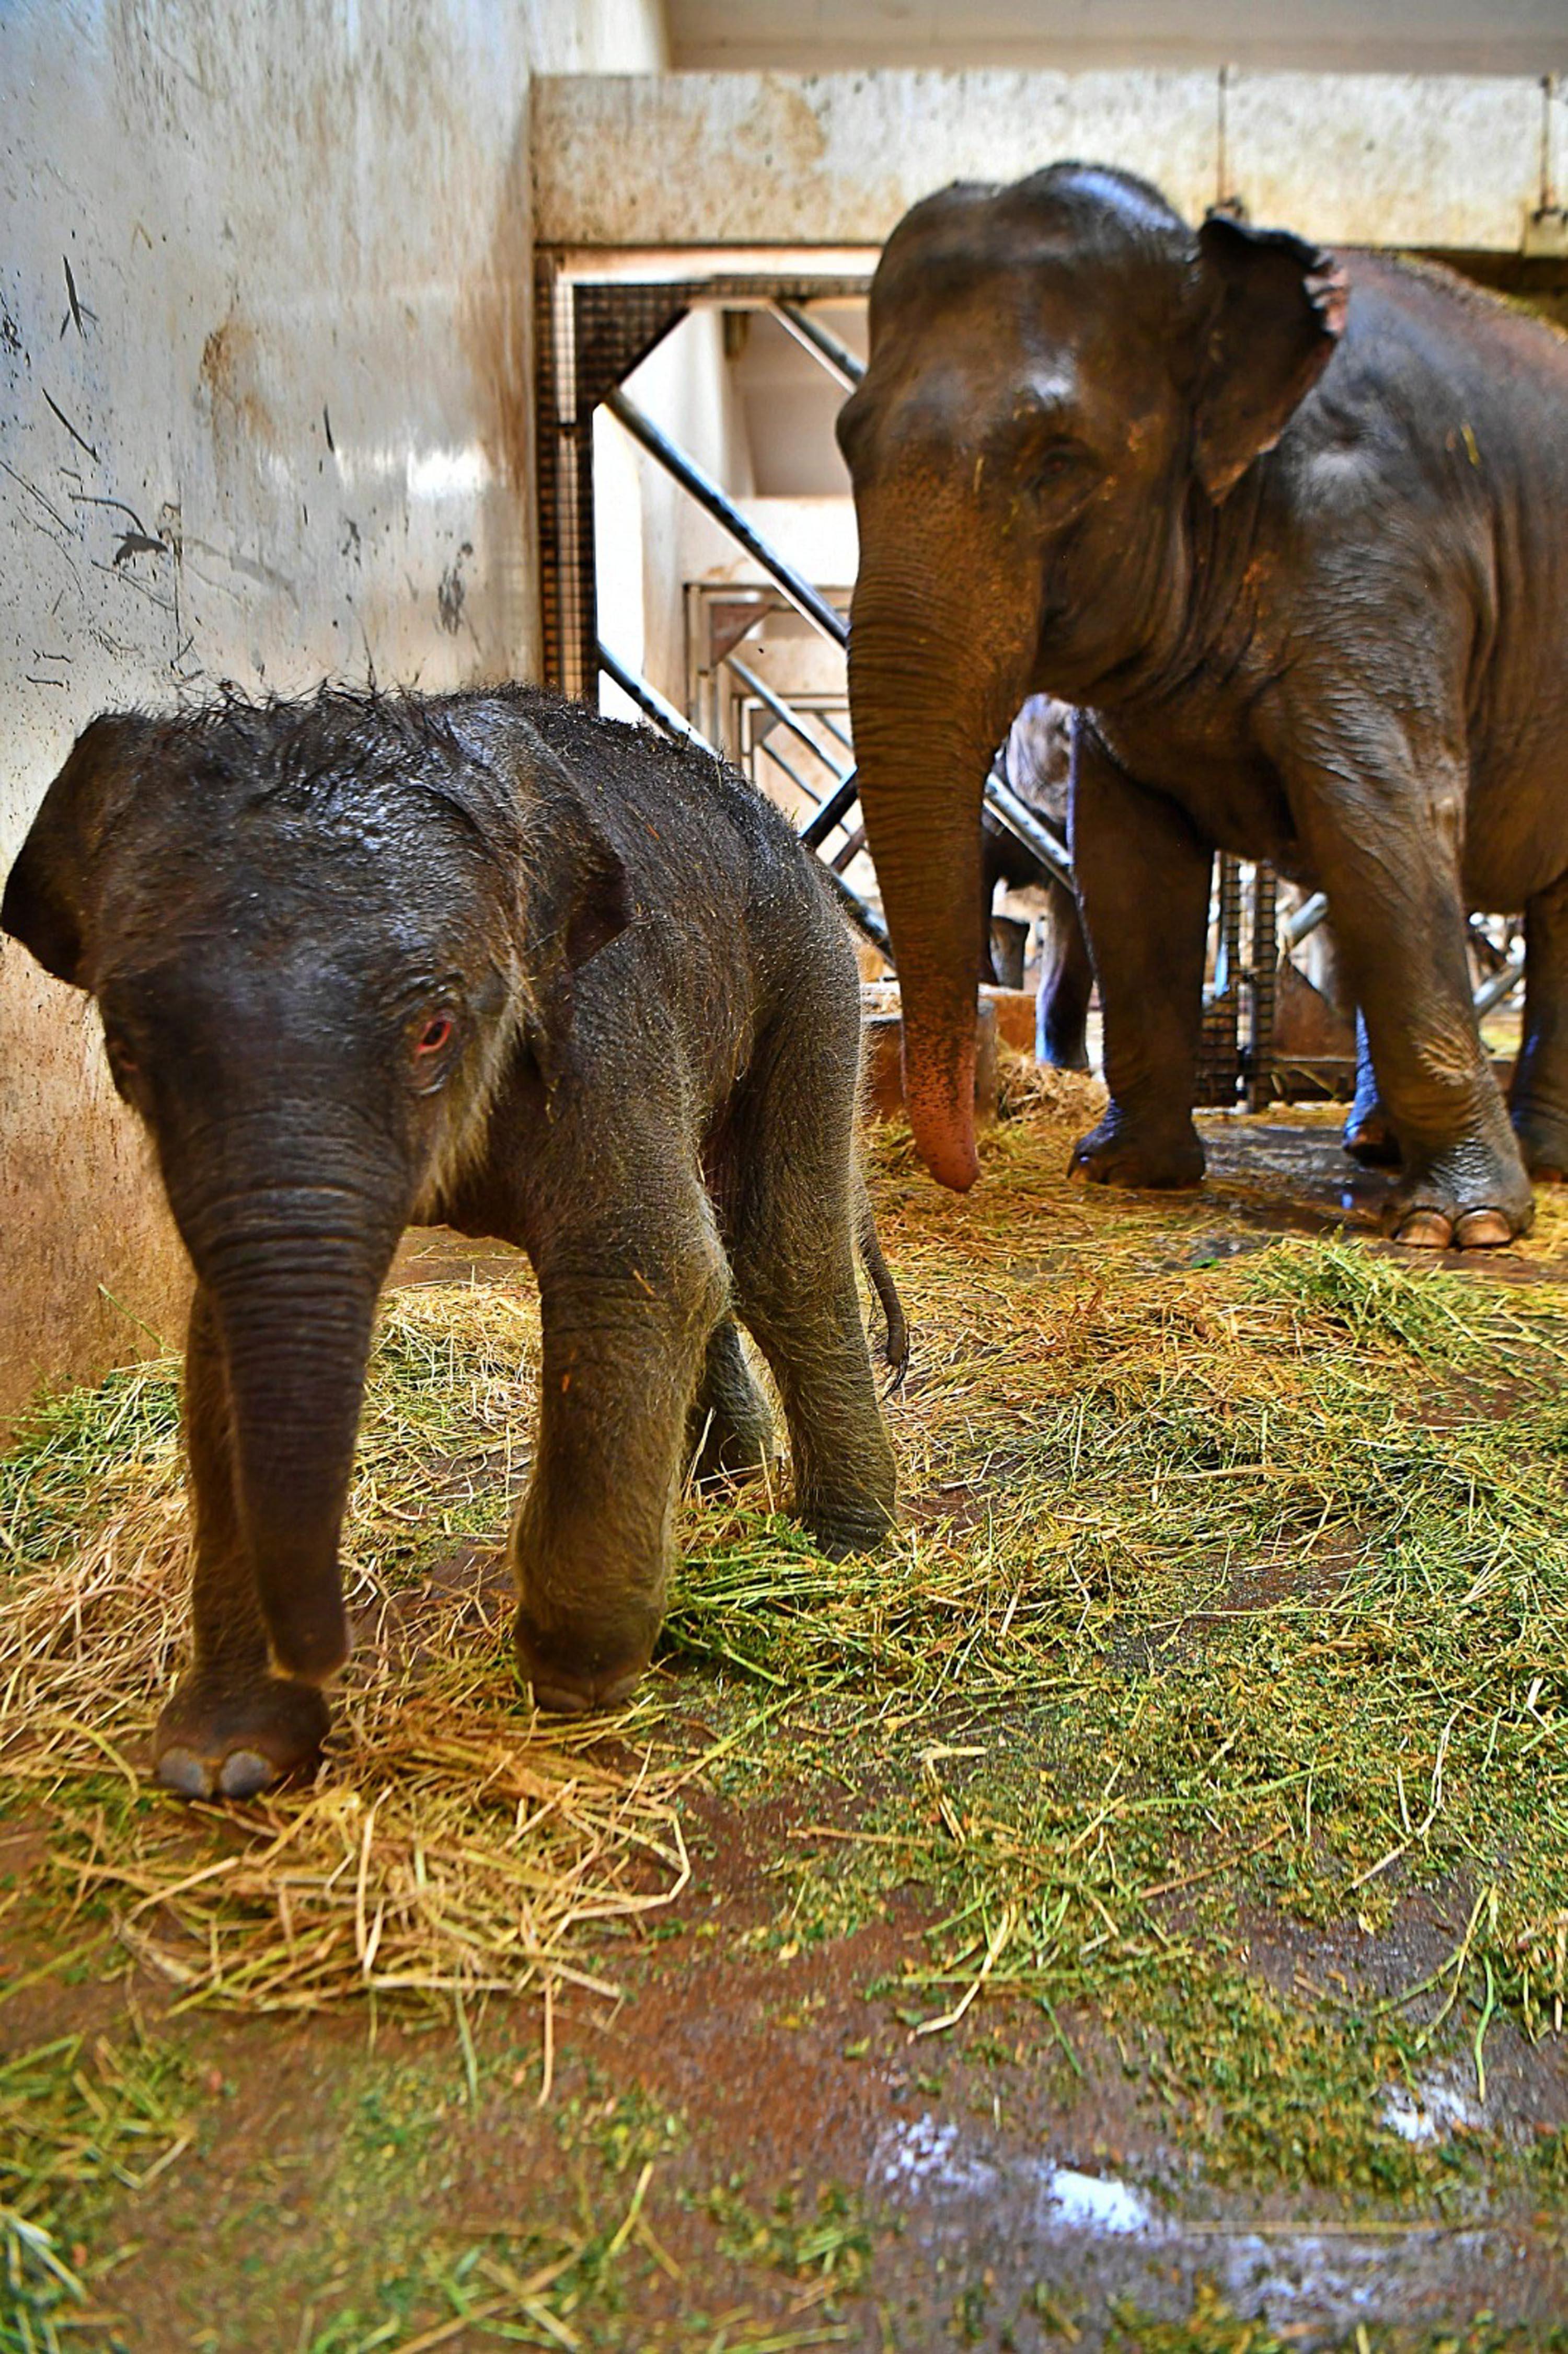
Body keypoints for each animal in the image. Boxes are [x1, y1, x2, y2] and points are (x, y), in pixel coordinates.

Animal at [3, 686, 902, 1797]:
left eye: (433, 1030)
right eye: (126, 1053)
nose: (331, 1660)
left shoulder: (600, 1011)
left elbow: (638, 1260)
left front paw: (575, 1677)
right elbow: (217, 1347)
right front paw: (225, 1761)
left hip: (808, 970)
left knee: (778, 1244)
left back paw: (840, 1543)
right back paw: (724, 1484)